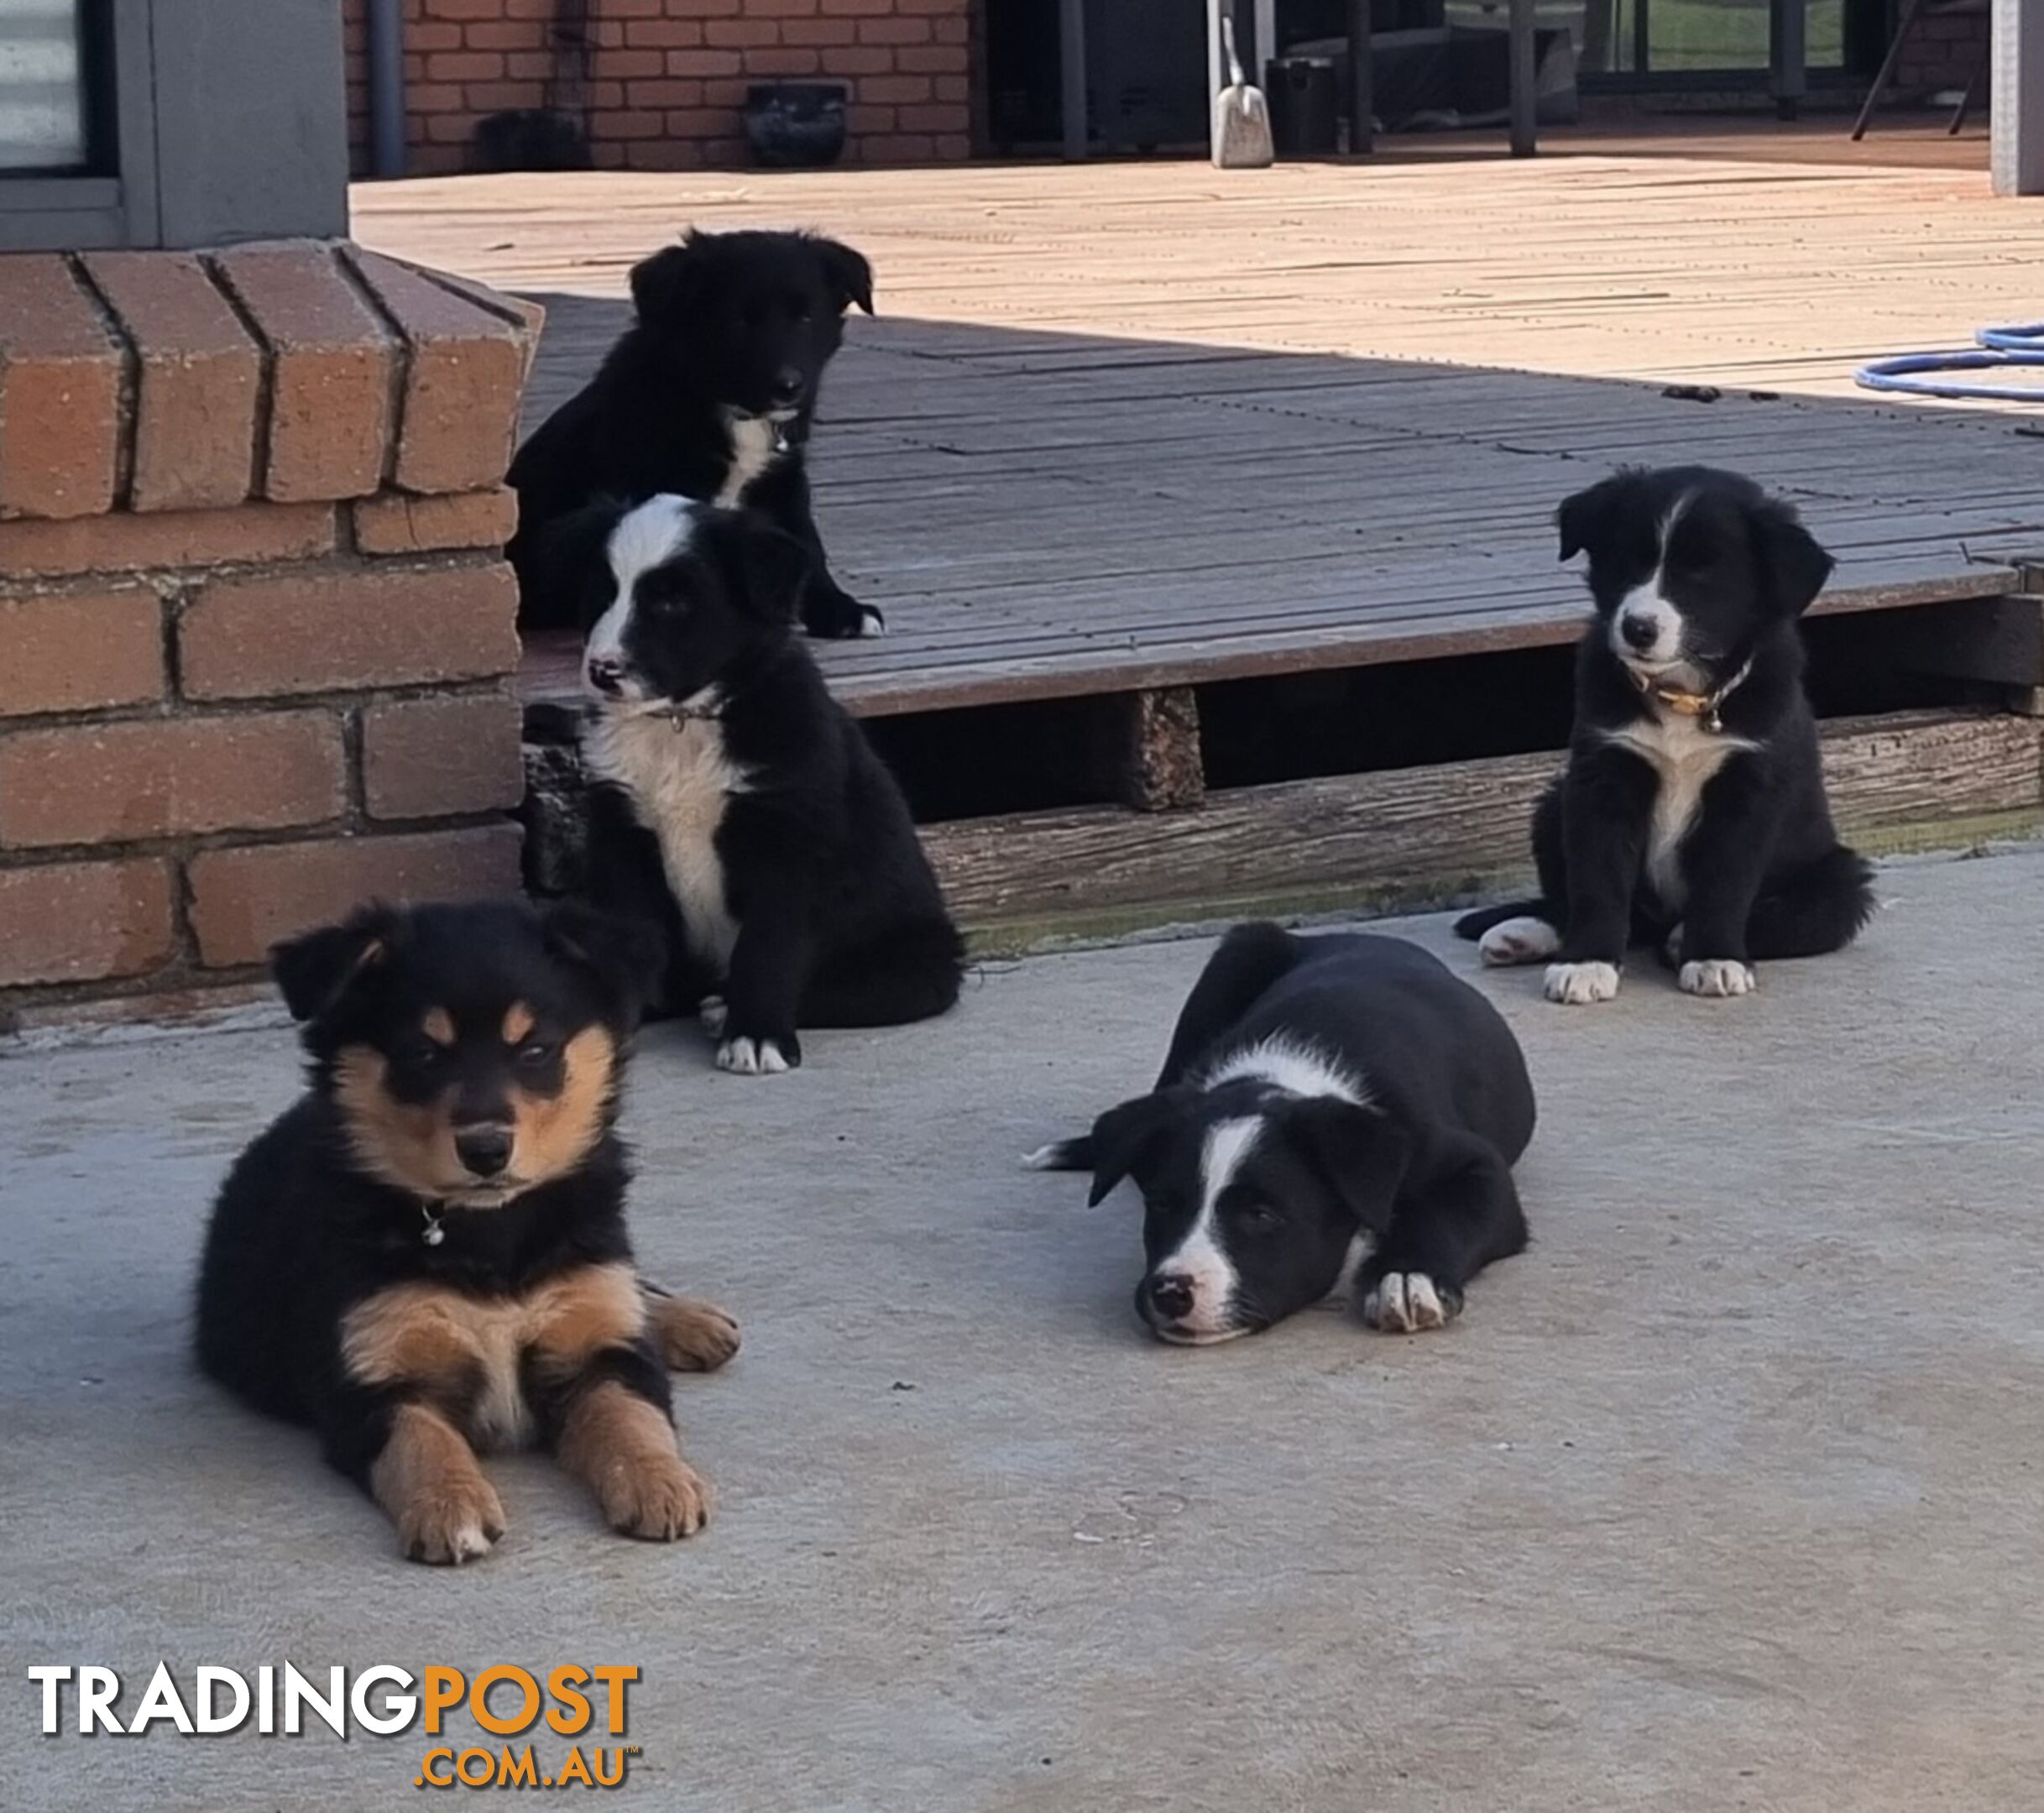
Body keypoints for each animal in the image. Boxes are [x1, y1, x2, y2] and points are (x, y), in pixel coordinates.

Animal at [193, 899, 744, 1570]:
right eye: (423, 1054)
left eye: (535, 1049)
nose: (485, 1150)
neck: (488, 1230)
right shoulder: (373, 1377)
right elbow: (422, 1440)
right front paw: (448, 1506)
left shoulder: (602, 1345)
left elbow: (631, 1415)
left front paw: (659, 1480)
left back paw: (691, 1320)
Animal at [510, 226, 879, 641]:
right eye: (739, 322)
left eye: (805, 317)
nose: (788, 386)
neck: (728, 410)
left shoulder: (781, 482)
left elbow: (807, 541)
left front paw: (840, 609)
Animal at [1038, 927, 1537, 1340]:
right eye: (1161, 1204)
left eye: (1262, 1216)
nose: (1171, 1293)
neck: (1287, 1077)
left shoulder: (1473, 1164)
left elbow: (1448, 1217)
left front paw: (1407, 1276)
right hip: (1236, 955)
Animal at [1455, 463, 1872, 1006]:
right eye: (1628, 560)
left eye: (1703, 573)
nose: (1638, 628)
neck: (1682, 696)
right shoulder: (1602, 775)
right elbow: (1597, 880)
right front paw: (1586, 963)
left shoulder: (1748, 789)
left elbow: (1725, 882)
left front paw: (1714, 958)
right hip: (1554, 802)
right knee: (1594, 907)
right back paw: (1525, 933)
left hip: (1840, 878)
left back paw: (1679, 940)